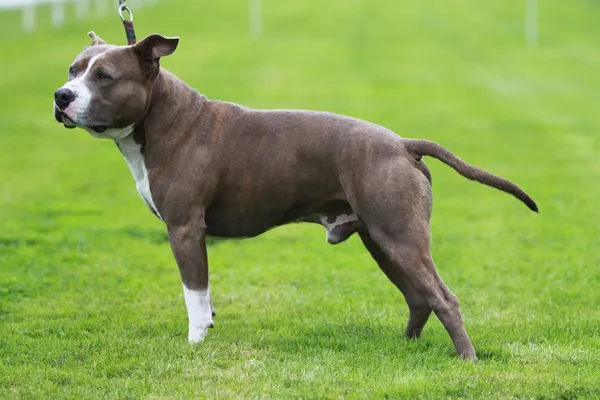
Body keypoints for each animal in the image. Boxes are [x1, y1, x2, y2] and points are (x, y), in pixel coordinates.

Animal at [52, 32, 540, 360]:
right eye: (72, 70)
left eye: (105, 76)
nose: (61, 96)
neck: (164, 118)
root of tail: (403, 144)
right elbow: (204, 297)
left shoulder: (185, 230)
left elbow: (194, 295)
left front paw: (194, 344)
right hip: (383, 241)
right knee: (419, 296)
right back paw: (406, 349)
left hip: (400, 238)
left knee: (444, 298)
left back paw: (467, 360)